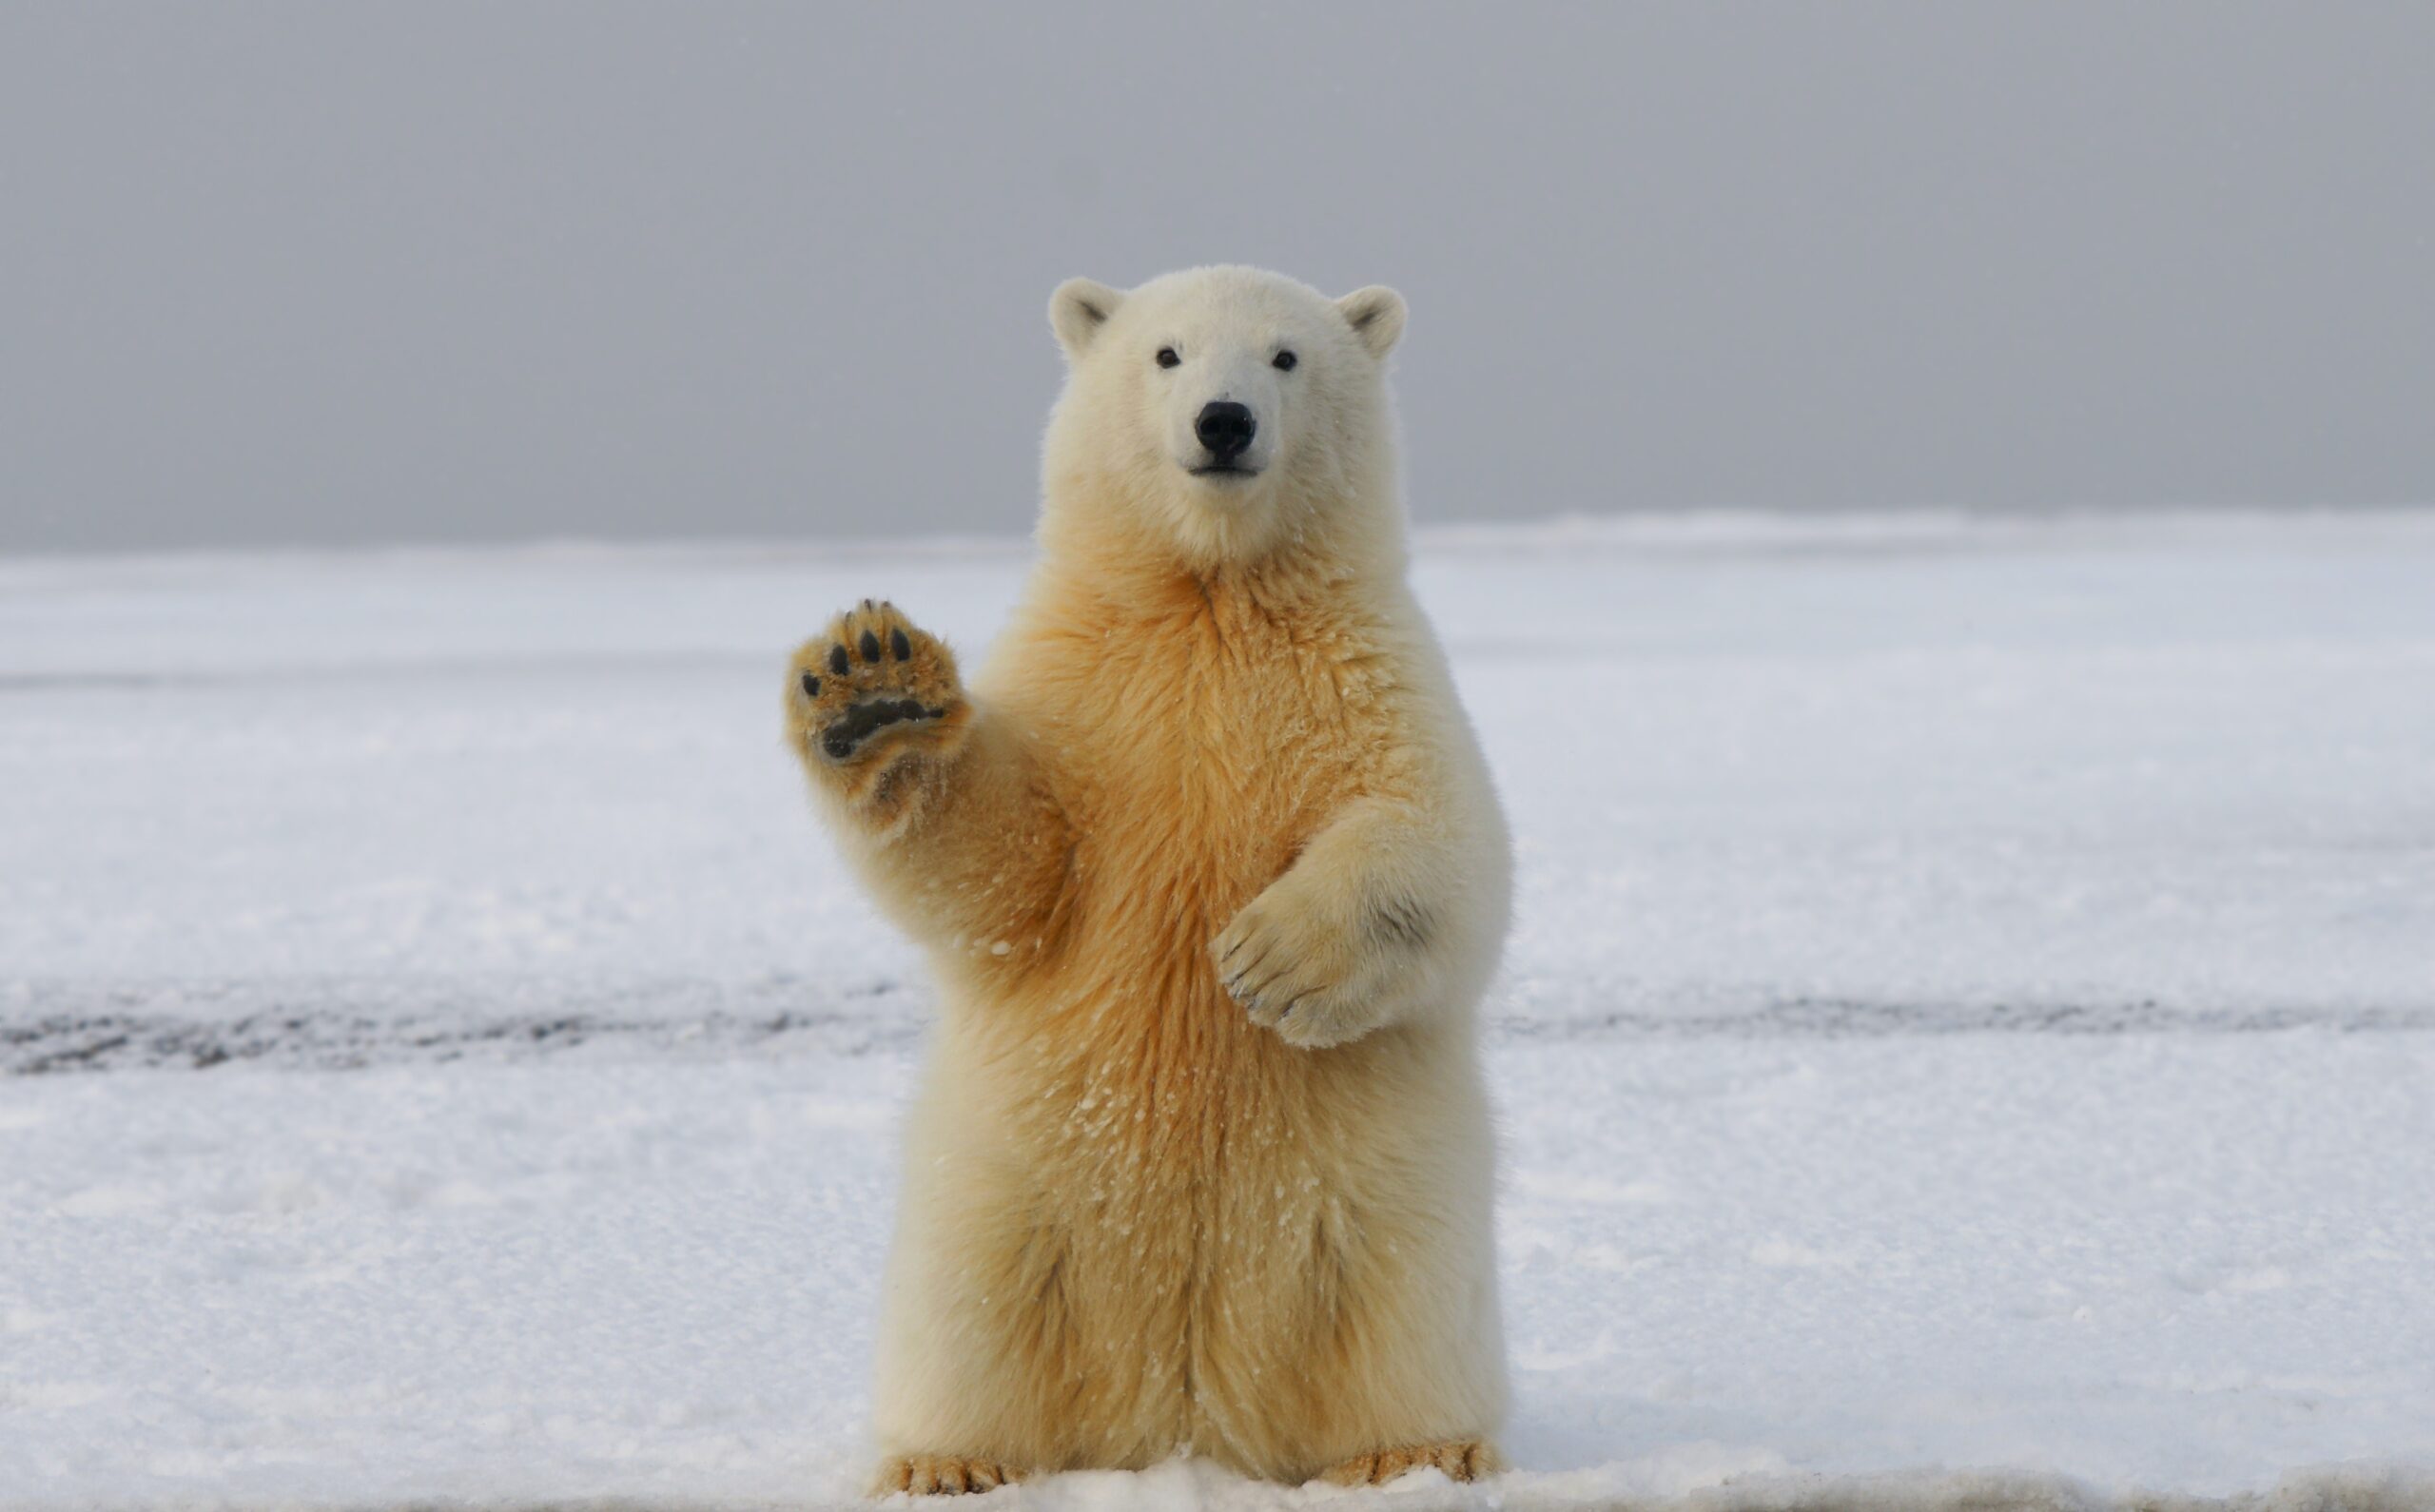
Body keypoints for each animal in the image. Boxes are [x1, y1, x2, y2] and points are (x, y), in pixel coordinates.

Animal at [784, 262, 1499, 1489]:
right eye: (1166, 354)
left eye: (1284, 356)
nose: (1224, 422)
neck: (1209, 596)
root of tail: (1182, 1417)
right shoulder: (1087, 691)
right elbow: (1009, 871)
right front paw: (873, 688)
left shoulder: (1371, 675)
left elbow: (1442, 844)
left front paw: (1268, 961)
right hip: (1005, 1187)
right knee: (970, 1310)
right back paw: (947, 1462)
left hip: (1386, 1193)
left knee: (1402, 1305)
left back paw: (1417, 1452)